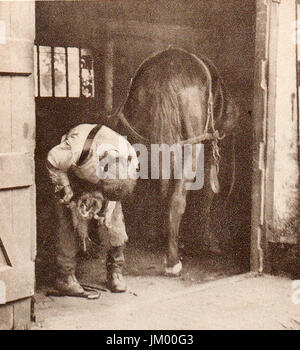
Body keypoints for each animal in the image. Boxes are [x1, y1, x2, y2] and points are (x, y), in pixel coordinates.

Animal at [115, 47, 239, 276]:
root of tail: (165, 78)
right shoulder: (207, 151)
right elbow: (206, 195)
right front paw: (206, 241)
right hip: (192, 150)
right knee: (178, 201)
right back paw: (173, 261)